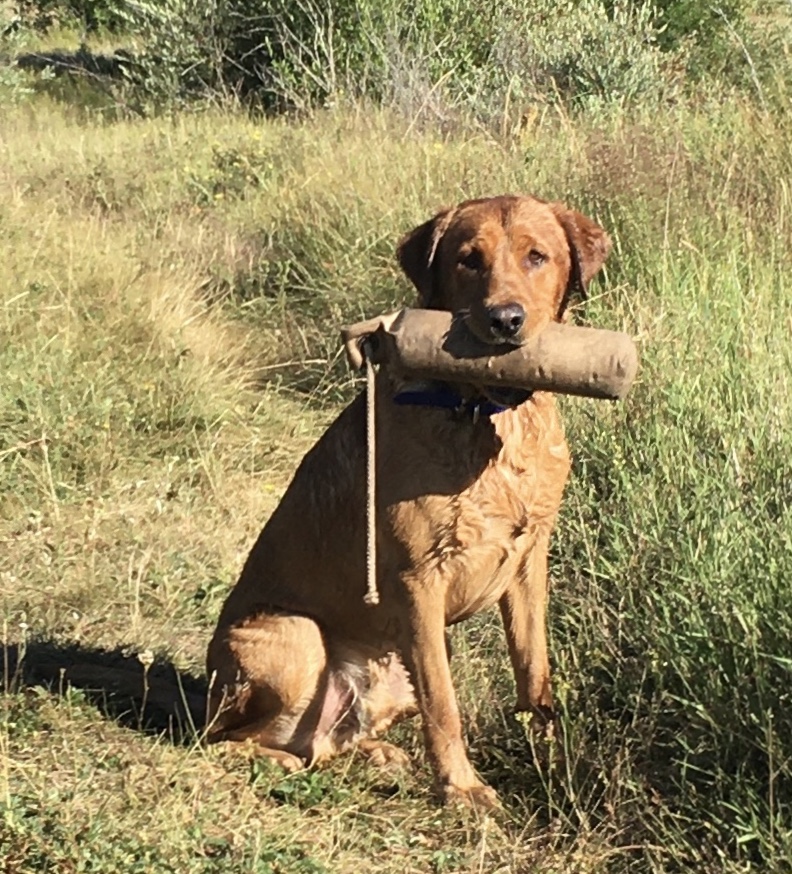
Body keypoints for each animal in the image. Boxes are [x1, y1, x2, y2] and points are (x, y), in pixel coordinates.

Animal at [206, 194, 612, 808]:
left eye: (537, 257)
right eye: (468, 260)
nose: (505, 320)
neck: (487, 420)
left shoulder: (528, 563)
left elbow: (534, 672)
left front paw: (553, 765)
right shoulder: (420, 580)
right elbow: (443, 704)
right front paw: (462, 788)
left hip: (389, 675)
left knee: (328, 742)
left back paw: (376, 753)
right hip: (296, 639)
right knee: (233, 742)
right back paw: (282, 760)